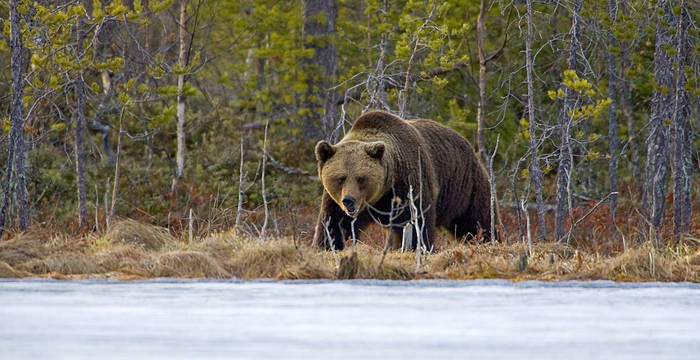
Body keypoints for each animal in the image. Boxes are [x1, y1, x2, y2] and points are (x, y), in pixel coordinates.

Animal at [312, 110, 498, 250]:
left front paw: (419, 247)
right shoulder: (336, 202)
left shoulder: (408, 183)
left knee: (478, 220)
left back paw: (490, 240)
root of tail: (468, 144)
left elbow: (417, 222)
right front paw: (327, 245)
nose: (349, 200)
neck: (380, 196)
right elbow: (334, 224)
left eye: (361, 178)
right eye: (340, 178)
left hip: (465, 187)